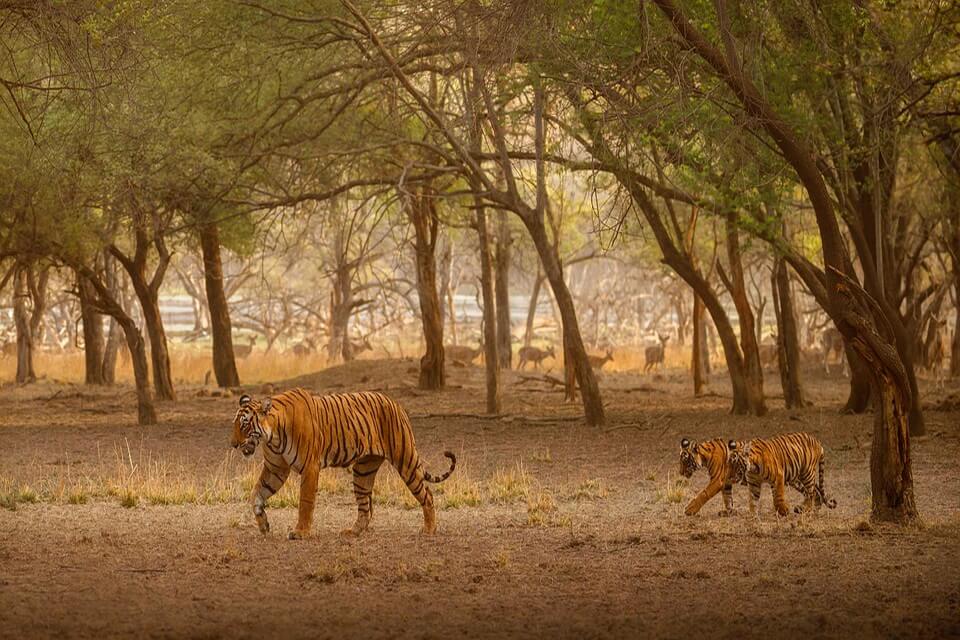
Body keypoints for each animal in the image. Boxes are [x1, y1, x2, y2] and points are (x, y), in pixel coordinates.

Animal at [232, 388, 458, 536]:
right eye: (235, 424)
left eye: (244, 425)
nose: (233, 444)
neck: (273, 436)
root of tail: (396, 403)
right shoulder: (276, 469)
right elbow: (256, 494)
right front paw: (263, 525)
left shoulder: (310, 467)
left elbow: (305, 501)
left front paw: (301, 532)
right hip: (363, 470)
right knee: (366, 506)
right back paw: (353, 531)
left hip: (405, 459)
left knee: (427, 495)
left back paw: (429, 529)